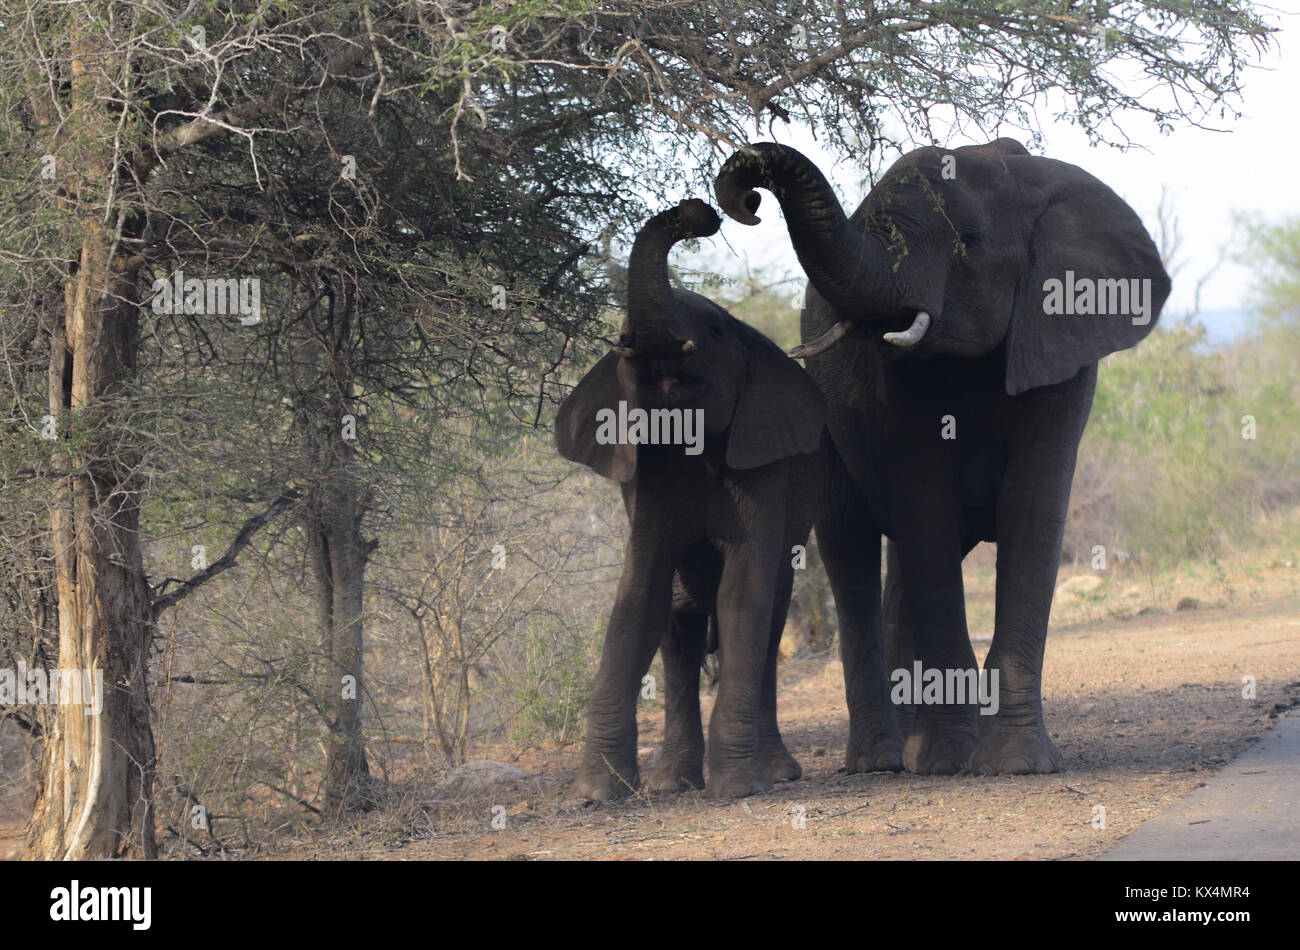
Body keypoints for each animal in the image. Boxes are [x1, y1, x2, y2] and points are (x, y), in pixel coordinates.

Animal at [553, 200, 826, 800]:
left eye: (717, 328)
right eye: (620, 341)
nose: (700, 211)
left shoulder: (764, 467)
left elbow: (743, 594)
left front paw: (740, 788)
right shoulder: (646, 476)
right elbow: (638, 595)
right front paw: (598, 793)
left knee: (769, 618)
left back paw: (777, 774)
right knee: (678, 624)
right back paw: (672, 784)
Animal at [717, 139, 1175, 774]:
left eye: (969, 242)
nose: (750, 201)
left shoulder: (1060, 337)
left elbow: (1032, 507)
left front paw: (1015, 765)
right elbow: (925, 505)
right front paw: (950, 762)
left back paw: (910, 748)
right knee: (851, 544)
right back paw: (883, 760)